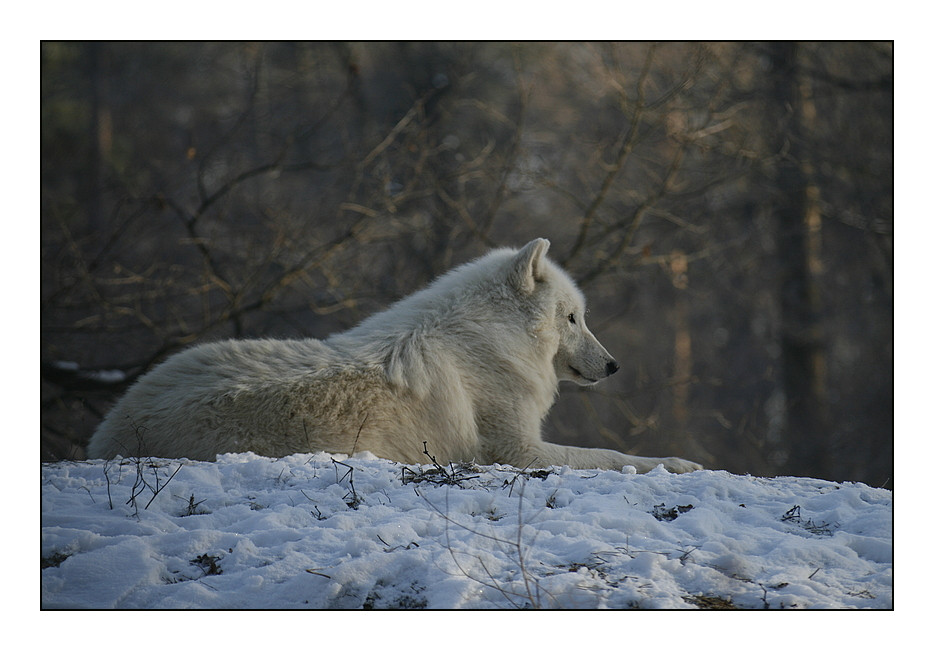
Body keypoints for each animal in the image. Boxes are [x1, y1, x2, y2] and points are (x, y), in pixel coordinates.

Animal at [86, 239, 704, 474]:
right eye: (573, 318)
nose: (615, 365)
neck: (489, 339)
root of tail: (109, 432)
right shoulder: (516, 451)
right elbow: (611, 455)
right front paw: (679, 464)